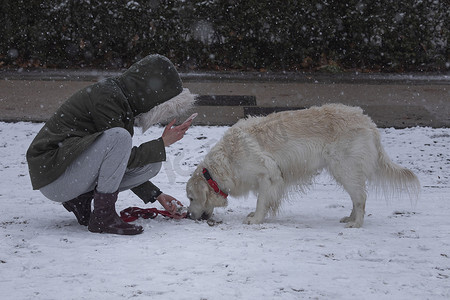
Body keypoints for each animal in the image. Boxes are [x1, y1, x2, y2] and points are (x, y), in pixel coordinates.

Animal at [185, 103, 420, 227]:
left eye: (191, 198)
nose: (188, 215)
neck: (226, 161)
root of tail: (368, 122)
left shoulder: (269, 174)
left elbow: (262, 201)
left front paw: (256, 219)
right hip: (346, 171)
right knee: (357, 198)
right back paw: (350, 218)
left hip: (344, 169)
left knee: (361, 197)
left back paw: (356, 223)